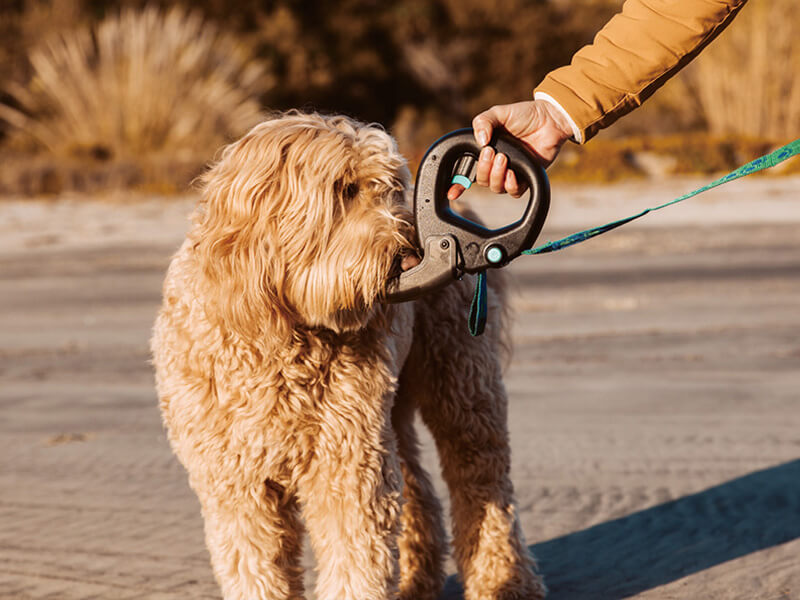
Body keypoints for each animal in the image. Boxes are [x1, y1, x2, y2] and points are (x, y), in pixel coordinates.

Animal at [150, 112, 544, 600]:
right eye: (344, 190)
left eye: (392, 188)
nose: (411, 253)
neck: (281, 337)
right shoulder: (238, 488)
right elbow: (256, 568)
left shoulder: (346, 469)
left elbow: (356, 562)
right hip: (387, 415)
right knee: (419, 489)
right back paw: (417, 579)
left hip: (459, 385)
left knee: (482, 484)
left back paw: (505, 582)